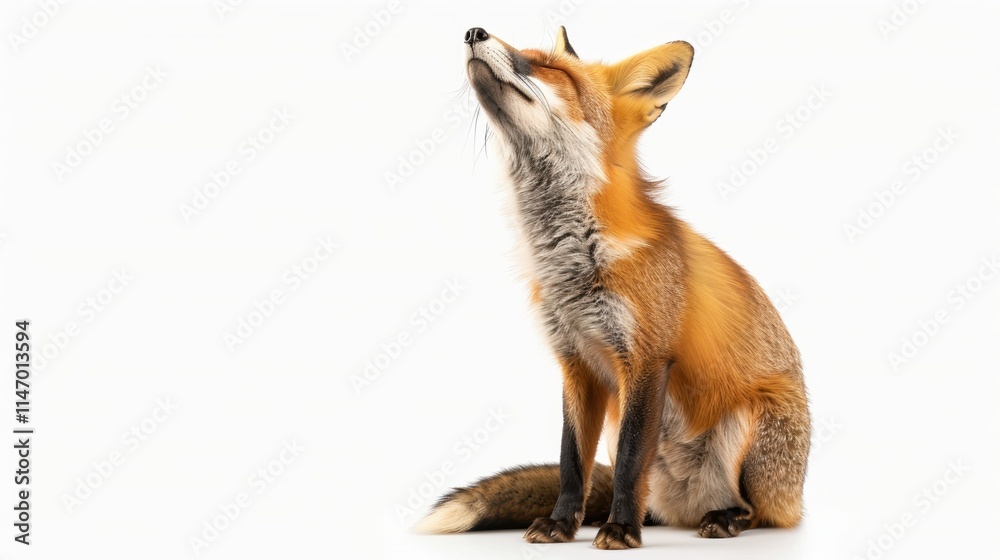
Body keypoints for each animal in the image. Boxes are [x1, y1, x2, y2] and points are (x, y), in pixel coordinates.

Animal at [414, 27, 811, 550]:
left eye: (549, 67)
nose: (473, 31)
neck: (575, 261)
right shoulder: (576, 363)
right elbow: (571, 463)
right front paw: (563, 523)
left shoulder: (646, 359)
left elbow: (627, 463)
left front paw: (621, 529)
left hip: (749, 424)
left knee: (759, 512)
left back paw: (723, 518)